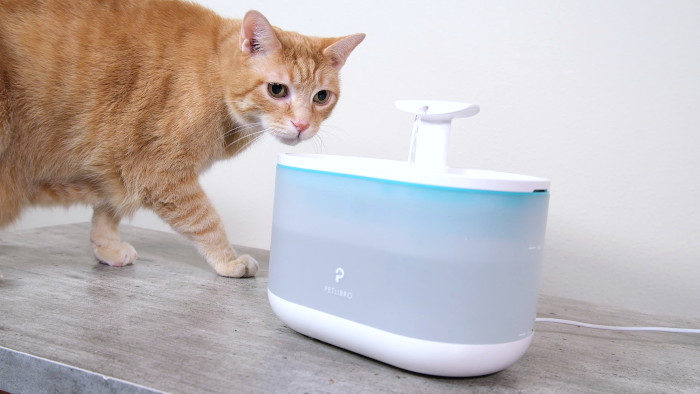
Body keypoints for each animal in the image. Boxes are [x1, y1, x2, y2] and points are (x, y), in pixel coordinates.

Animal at [1, 0, 366, 278]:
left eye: (322, 97)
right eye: (277, 90)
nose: (302, 124)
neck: (215, 77)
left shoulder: (118, 164)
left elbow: (108, 209)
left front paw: (107, 246)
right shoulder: (158, 171)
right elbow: (206, 219)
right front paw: (229, 260)